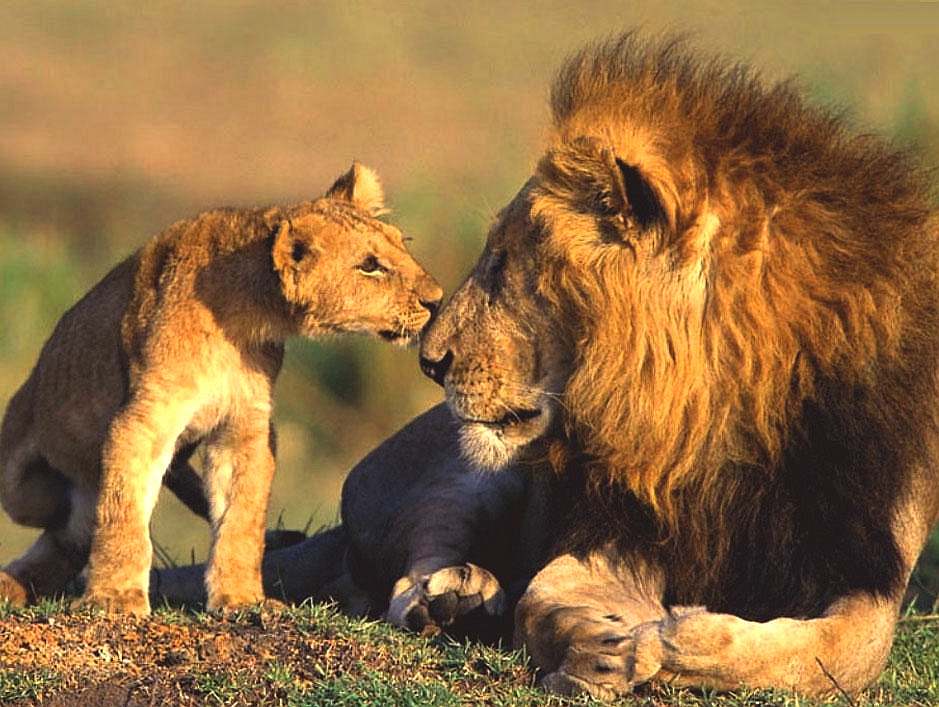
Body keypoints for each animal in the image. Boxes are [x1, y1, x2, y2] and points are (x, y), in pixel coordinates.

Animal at [156, 37, 939, 696]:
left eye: (505, 264)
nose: (430, 362)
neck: (718, 418)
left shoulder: (867, 563)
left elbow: (846, 648)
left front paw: (680, 640)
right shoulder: (608, 528)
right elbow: (543, 594)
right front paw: (601, 643)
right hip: (466, 466)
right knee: (410, 561)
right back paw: (456, 598)